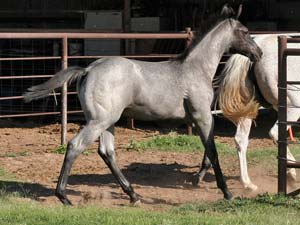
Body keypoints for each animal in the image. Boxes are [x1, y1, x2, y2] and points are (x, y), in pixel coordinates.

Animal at [24, 12, 262, 206]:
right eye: (245, 32)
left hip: (109, 122)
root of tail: (88, 69)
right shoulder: (203, 116)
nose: (258, 52)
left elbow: (208, 152)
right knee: (75, 146)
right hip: (98, 121)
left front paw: (198, 179)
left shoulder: (199, 119)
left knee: (107, 152)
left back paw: (133, 195)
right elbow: (213, 151)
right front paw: (227, 192)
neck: (195, 69)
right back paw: (63, 196)